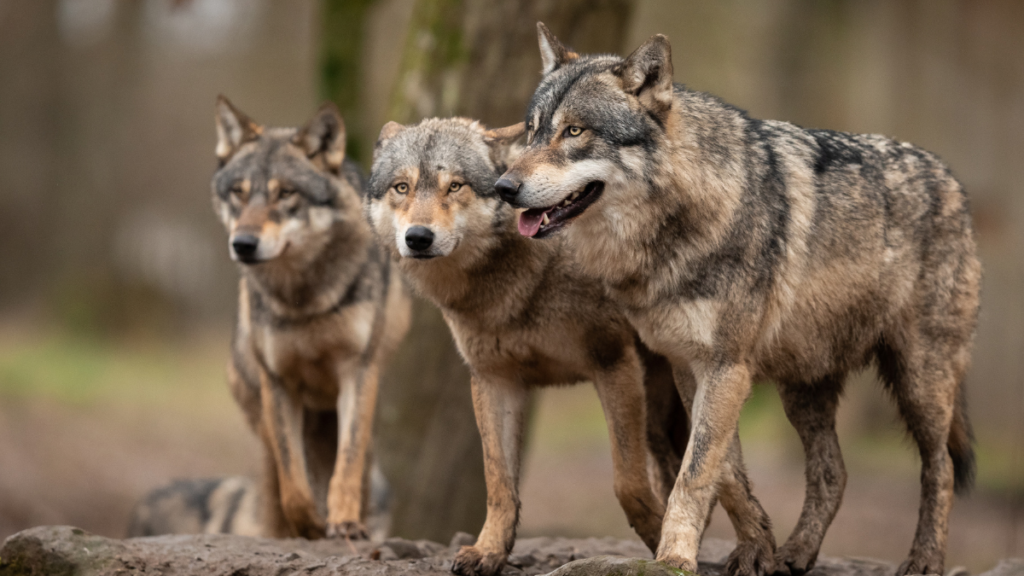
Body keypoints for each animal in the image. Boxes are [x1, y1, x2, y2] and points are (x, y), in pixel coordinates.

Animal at [211, 97, 410, 540]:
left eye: (286, 193)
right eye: (238, 193)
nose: (243, 244)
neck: (303, 299)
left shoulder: (357, 372)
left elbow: (347, 466)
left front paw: (345, 522)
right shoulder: (279, 383)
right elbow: (294, 484)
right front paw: (310, 526)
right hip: (266, 420)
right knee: (275, 484)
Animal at [365, 117, 689, 576]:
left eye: (455, 186)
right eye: (401, 187)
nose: (418, 237)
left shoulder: (613, 363)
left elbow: (627, 482)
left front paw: (662, 545)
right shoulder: (494, 381)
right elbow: (499, 483)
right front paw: (489, 551)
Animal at [495, 23, 980, 576]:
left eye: (574, 132)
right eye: (532, 131)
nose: (503, 187)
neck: (674, 227)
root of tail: (951, 178)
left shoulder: (727, 367)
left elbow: (695, 473)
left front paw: (675, 557)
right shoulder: (690, 366)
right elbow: (723, 470)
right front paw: (757, 547)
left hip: (920, 381)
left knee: (940, 468)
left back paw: (924, 558)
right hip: (804, 388)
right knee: (833, 472)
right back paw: (795, 553)